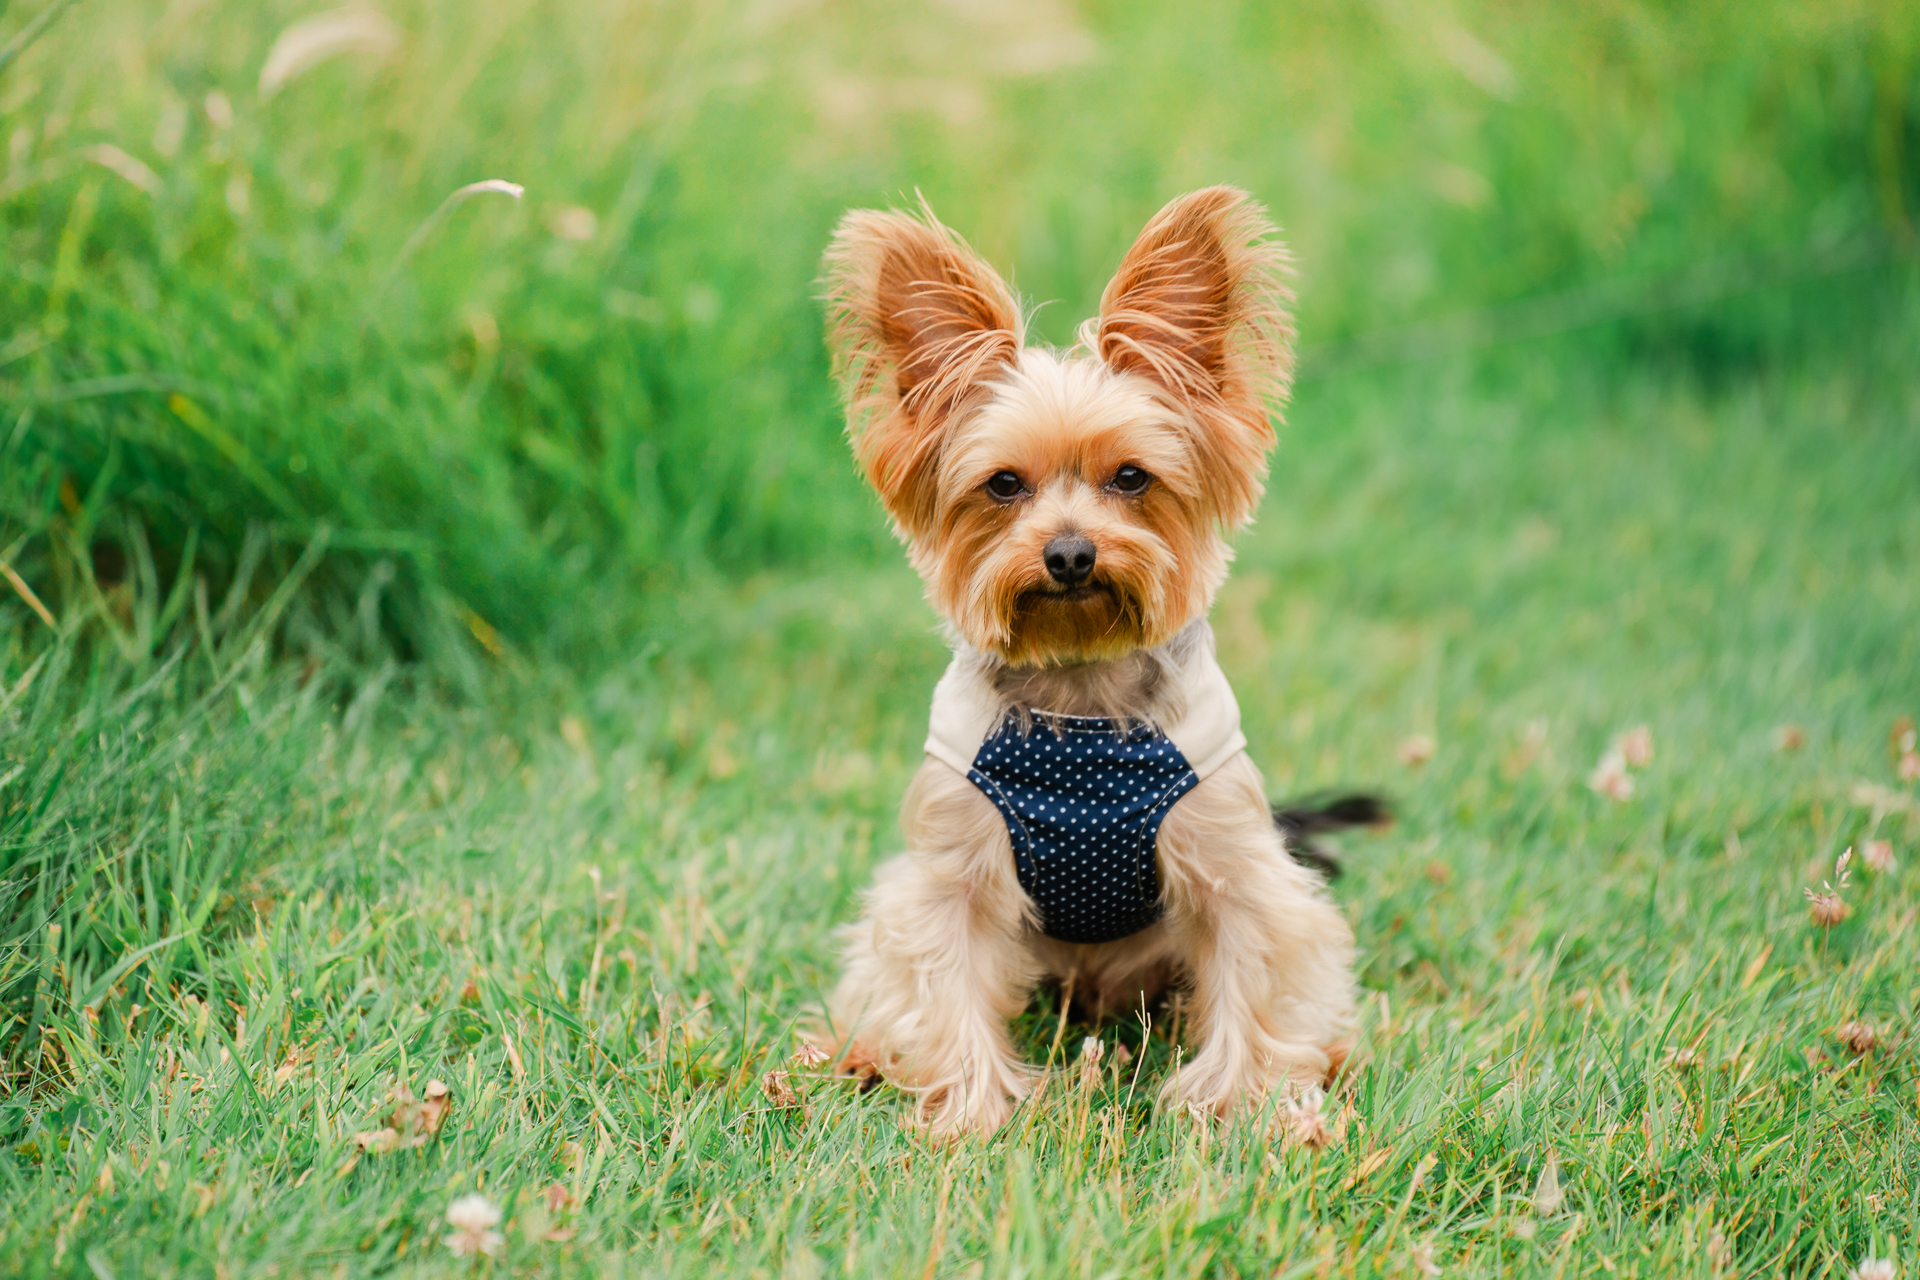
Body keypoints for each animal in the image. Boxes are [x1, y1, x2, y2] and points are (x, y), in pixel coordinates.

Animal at [817, 185, 1359, 1136]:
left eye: (1132, 478)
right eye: (1003, 485)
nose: (1070, 553)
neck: (1079, 689)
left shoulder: (1234, 862)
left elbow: (1258, 974)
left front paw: (1254, 1112)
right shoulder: (951, 872)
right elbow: (943, 982)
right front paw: (970, 1115)